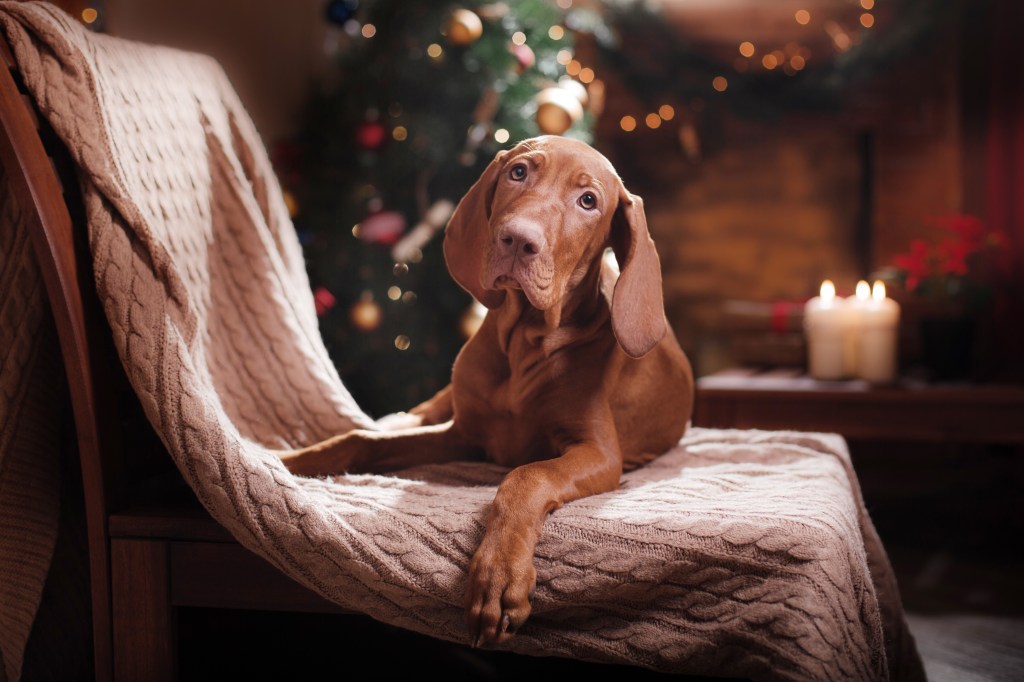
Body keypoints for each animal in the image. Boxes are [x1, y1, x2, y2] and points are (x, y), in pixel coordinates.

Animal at [284, 135, 692, 647]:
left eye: (588, 201)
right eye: (518, 172)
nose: (517, 240)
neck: (524, 342)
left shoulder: (599, 453)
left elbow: (526, 476)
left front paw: (499, 575)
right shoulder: (463, 433)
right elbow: (363, 442)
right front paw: (290, 461)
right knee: (410, 415)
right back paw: (395, 417)